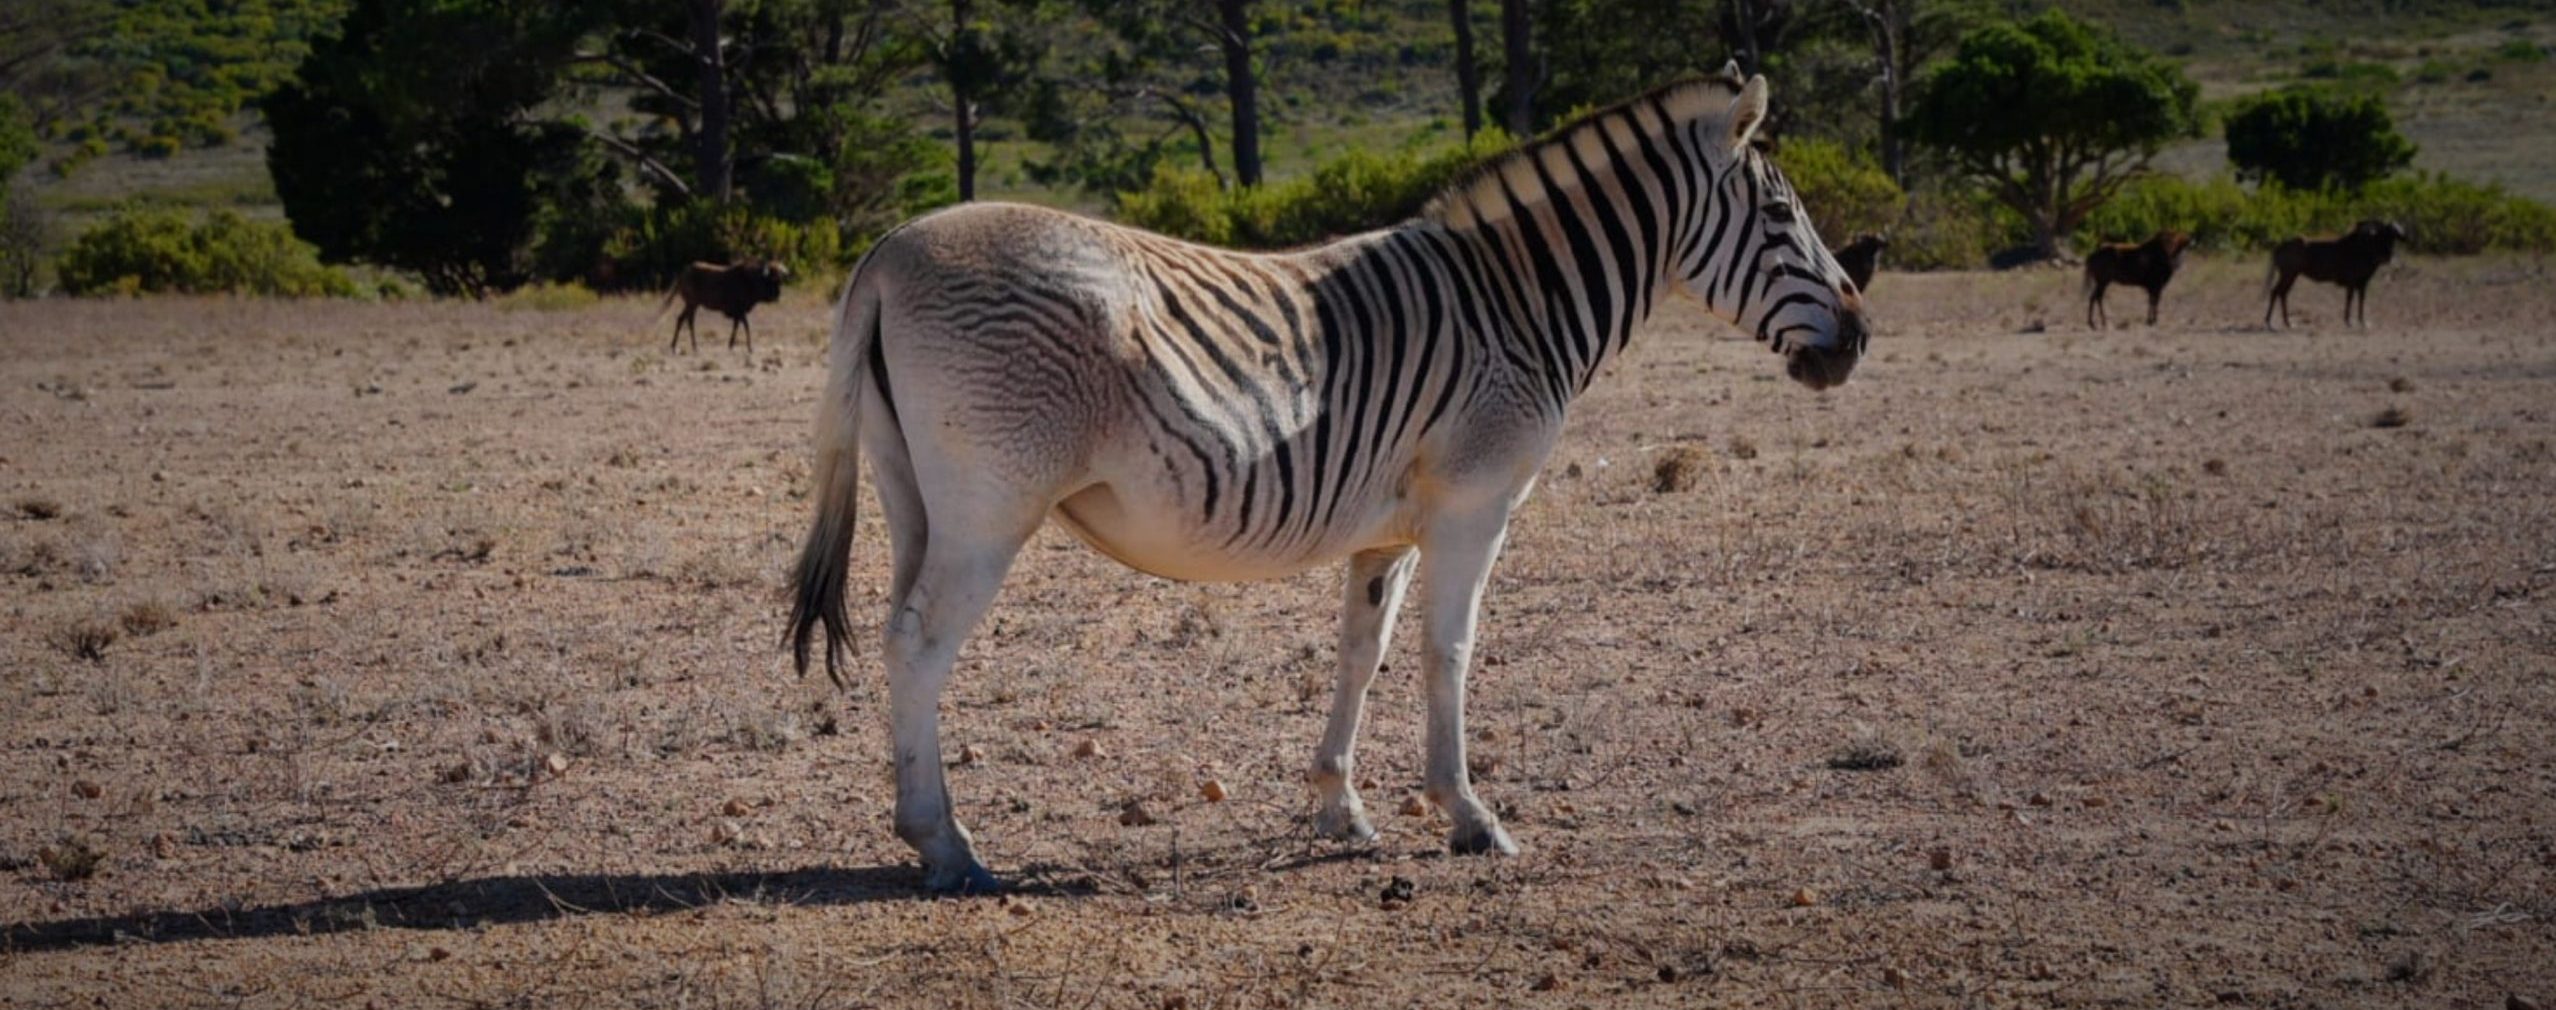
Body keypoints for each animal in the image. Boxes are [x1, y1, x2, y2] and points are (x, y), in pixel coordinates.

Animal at [658, 260, 790, 353]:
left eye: (780, 280)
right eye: (772, 279)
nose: (777, 296)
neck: (749, 281)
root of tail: (684, 272)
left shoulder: (738, 313)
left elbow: (737, 326)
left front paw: (731, 344)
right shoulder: (740, 311)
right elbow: (746, 326)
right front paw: (749, 347)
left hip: (692, 305)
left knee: (683, 320)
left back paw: (679, 346)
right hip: (692, 303)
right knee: (687, 321)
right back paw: (689, 347)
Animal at [2265, 220, 2407, 329]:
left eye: (2393, 235)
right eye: (2381, 234)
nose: (2388, 256)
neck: (2363, 249)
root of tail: (2279, 246)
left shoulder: (2363, 284)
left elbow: (2361, 301)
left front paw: (2362, 322)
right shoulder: (2351, 283)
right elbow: (2349, 299)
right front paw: (2348, 322)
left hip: (2291, 276)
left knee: (2282, 294)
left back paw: (2288, 323)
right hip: (2288, 275)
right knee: (2275, 292)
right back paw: (2270, 323)